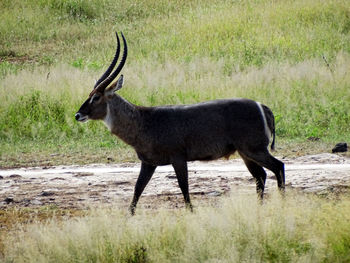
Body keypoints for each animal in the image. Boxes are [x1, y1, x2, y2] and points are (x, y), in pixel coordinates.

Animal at [75, 32, 286, 216]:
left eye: (96, 97)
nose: (78, 115)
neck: (143, 121)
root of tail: (262, 106)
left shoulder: (178, 158)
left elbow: (183, 187)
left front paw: (191, 212)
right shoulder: (148, 163)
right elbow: (137, 188)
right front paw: (129, 216)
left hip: (254, 149)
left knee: (278, 167)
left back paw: (282, 203)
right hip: (245, 153)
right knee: (261, 176)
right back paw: (259, 207)